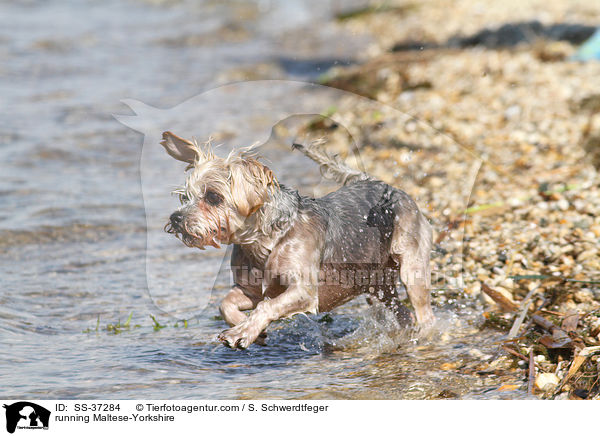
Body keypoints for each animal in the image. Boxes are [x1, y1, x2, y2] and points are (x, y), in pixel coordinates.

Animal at [162, 131, 434, 350]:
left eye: (213, 197)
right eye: (184, 197)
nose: (176, 218)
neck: (265, 242)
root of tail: (386, 186)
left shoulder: (303, 291)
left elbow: (266, 307)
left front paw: (246, 331)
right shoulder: (252, 290)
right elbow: (225, 304)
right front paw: (251, 330)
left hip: (411, 267)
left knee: (424, 312)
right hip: (375, 285)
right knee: (403, 313)